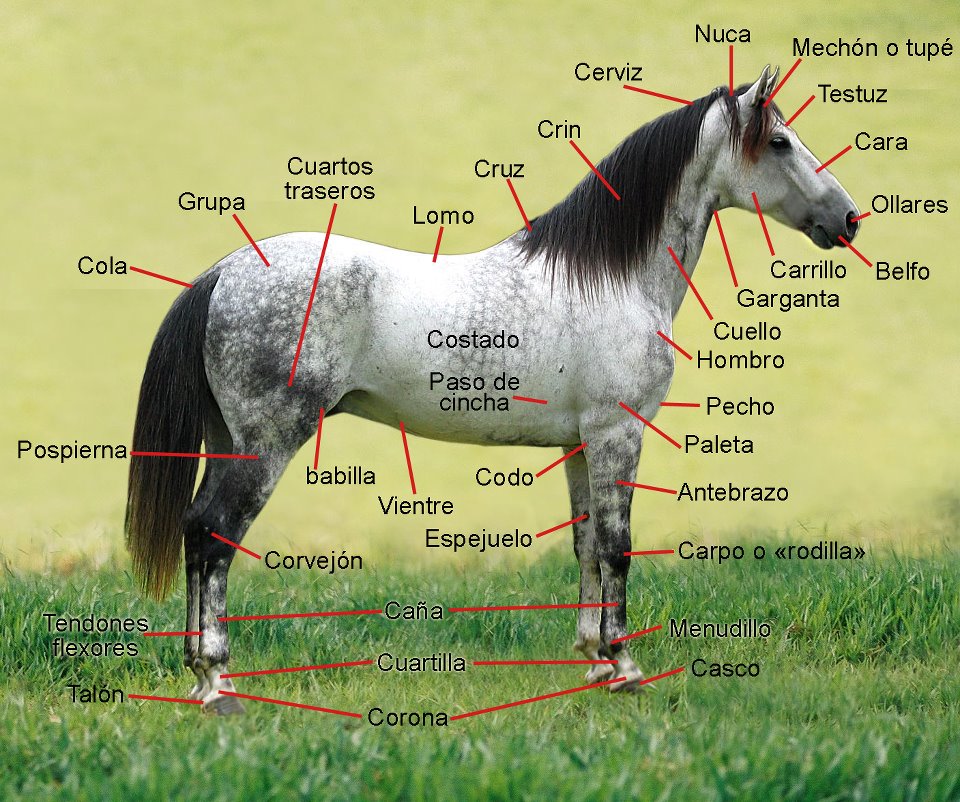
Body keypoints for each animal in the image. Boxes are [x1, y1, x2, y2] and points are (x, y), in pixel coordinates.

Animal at [125, 67, 860, 714]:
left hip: (229, 438)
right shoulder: (617, 432)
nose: (850, 219)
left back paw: (198, 674)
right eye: (780, 142)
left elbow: (587, 544)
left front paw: (594, 662)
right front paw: (625, 668)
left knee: (195, 529)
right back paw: (218, 681)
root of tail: (224, 271)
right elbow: (618, 545)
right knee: (216, 536)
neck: (612, 277)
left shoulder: (580, 443)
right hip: (269, 442)